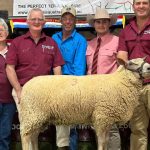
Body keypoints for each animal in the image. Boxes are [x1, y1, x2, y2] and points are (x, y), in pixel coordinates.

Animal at [19, 57, 150, 150]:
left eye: (143, 60)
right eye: (131, 63)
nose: (148, 67)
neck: (119, 82)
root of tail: (25, 87)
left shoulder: (108, 120)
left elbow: (106, 141)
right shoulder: (102, 117)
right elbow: (102, 142)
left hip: (39, 118)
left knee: (34, 136)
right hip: (32, 114)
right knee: (25, 136)